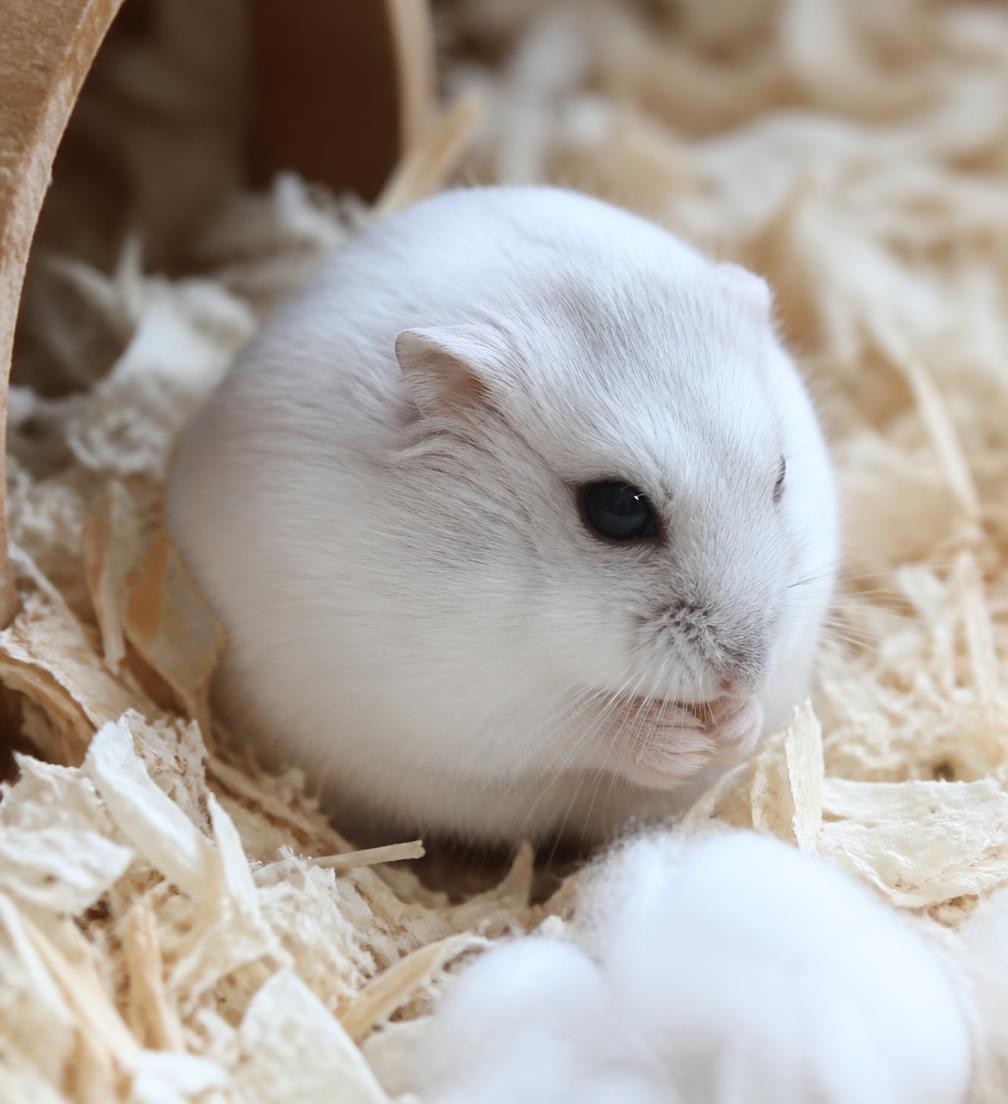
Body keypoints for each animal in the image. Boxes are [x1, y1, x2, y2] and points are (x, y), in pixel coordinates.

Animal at [166, 185, 838, 844]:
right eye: (618, 509)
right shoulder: (462, 700)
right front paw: (683, 741)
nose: (745, 673)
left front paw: (732, 724)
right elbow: (580, 727)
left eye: (780, 478)